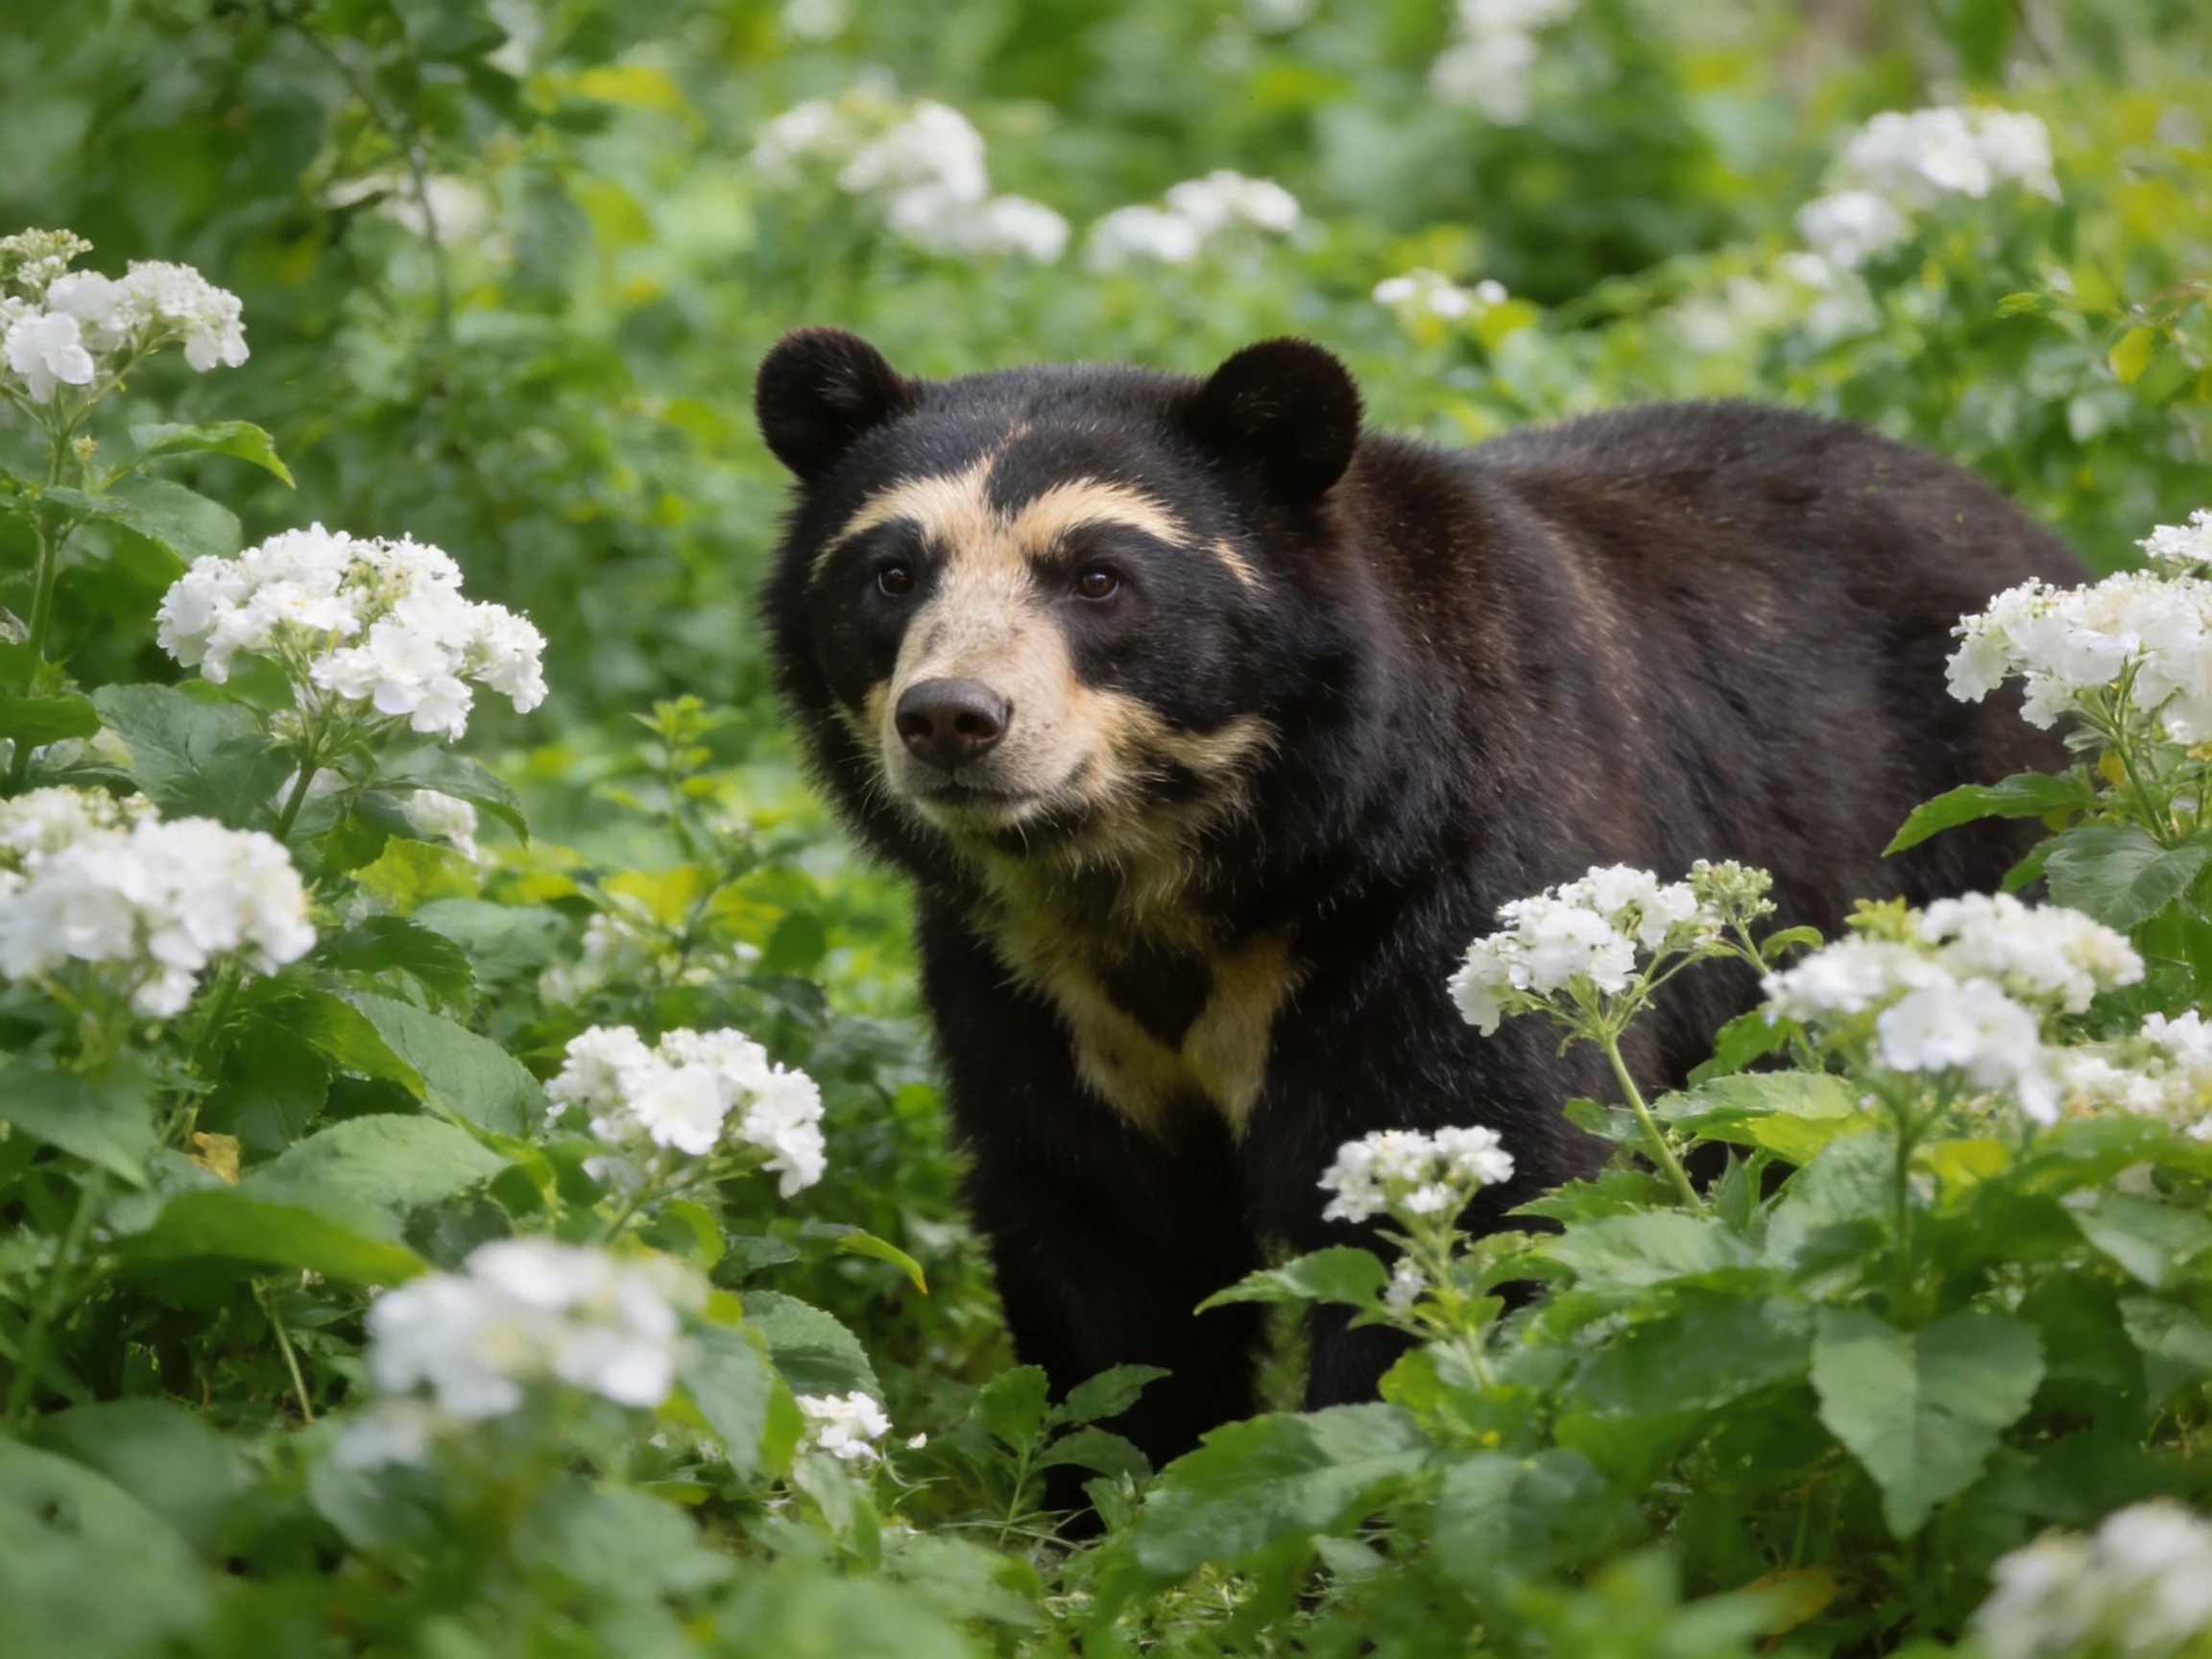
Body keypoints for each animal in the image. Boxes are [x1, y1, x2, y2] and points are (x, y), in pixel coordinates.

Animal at [754, 327, 2078, 1480]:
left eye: (1099, 578)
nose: (952, 719)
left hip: (1981, 822)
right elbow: (1097, 1245)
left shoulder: (1447, 897)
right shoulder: (1024, 977)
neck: (1173, 875)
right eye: (890, 574)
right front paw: (1106, 1516)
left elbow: (1480, 1189)